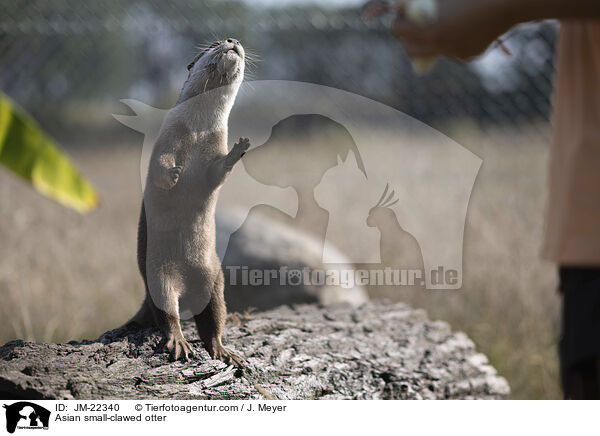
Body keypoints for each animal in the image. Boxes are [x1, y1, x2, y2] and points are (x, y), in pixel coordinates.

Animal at [126, 37, 248, 366]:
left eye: (233, 41)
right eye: (215, 42)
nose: (232, 40)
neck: (199, 131)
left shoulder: (215, 148)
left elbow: (217, 173)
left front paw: (239, 149)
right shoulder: (167, 138)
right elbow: (160, 167)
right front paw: (173, 175)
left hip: (215, 279)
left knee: (213, 318)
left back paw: (222, 349)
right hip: (158, 276)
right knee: (168, 314)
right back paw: (179, 342)